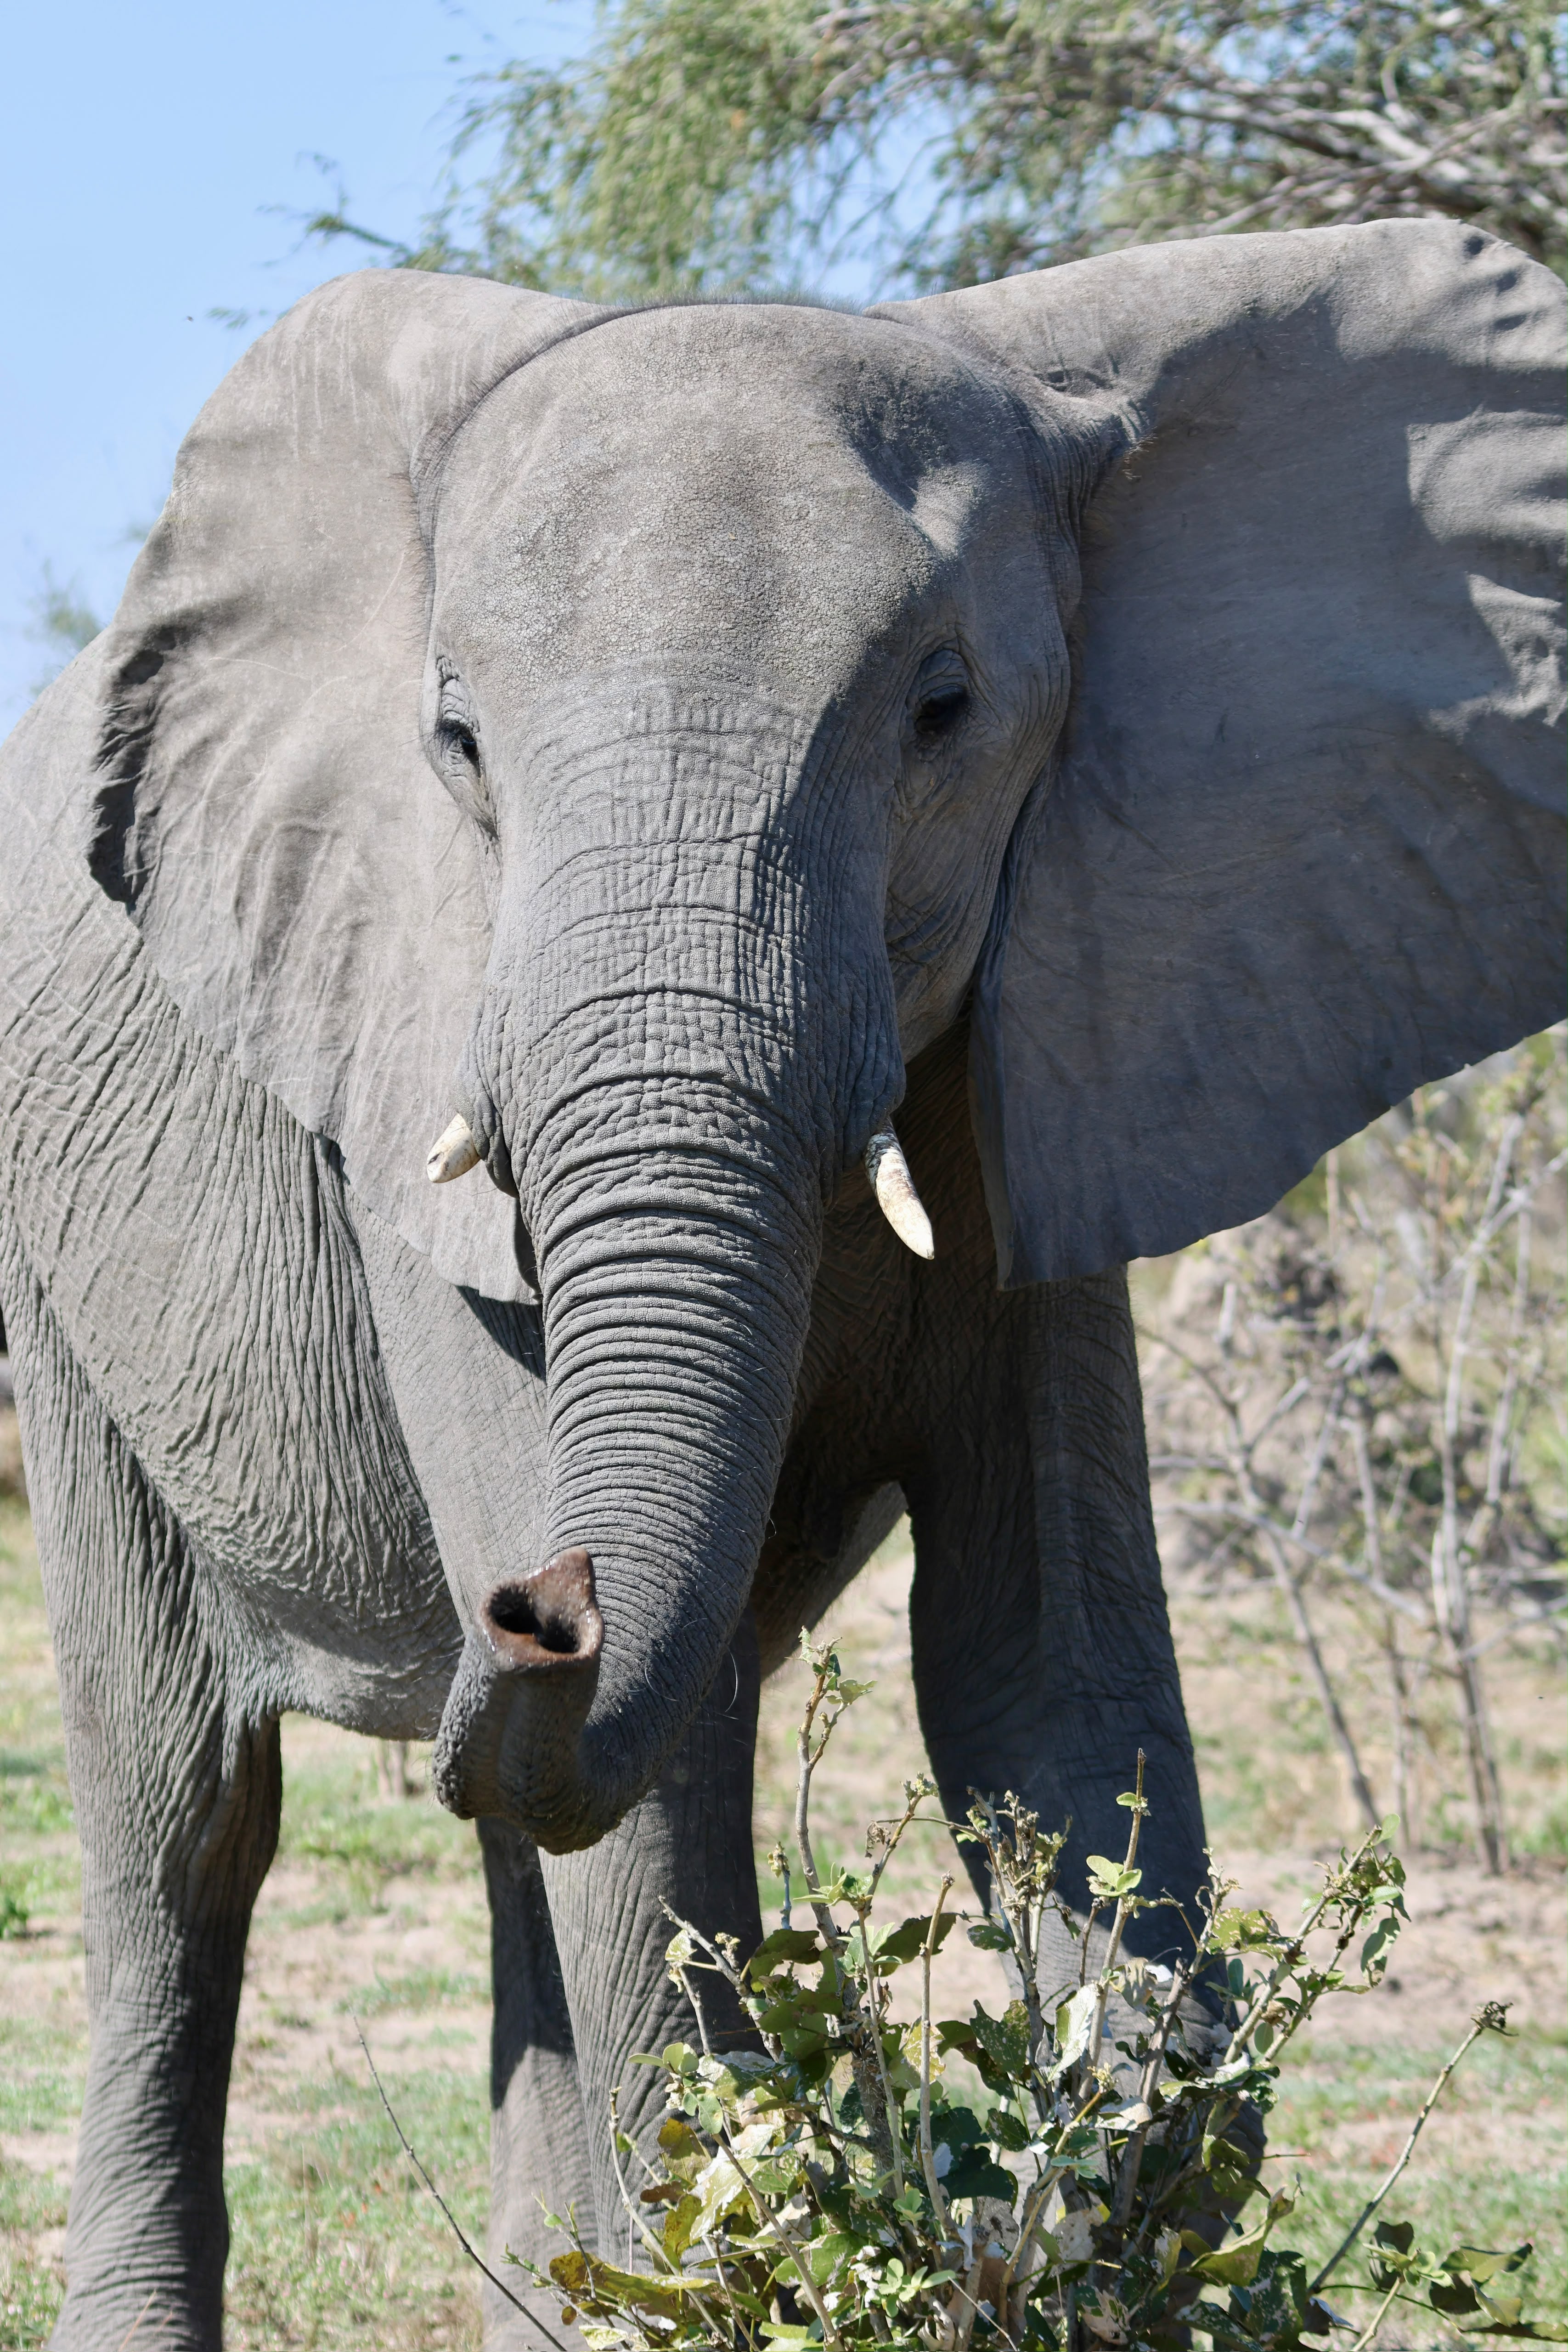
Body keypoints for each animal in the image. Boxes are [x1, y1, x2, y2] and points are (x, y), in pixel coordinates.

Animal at [3, 214, 1568, 2347]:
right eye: (455, 743)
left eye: (940, 708)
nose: (535, 1598)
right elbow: (659, 1797)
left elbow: (1046, 1675)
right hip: (59, 1295)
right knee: (193, 1819)